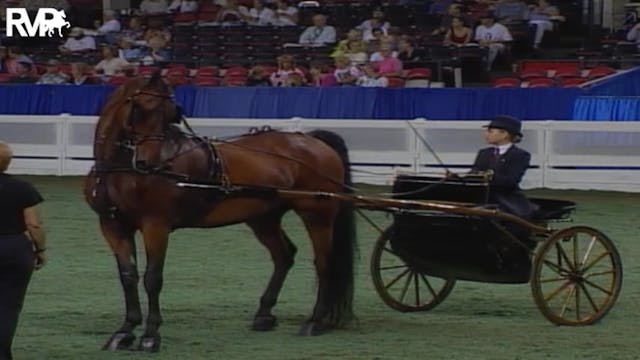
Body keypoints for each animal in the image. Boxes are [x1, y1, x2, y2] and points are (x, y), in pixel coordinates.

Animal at [81, 72, 356, 352]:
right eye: (139, 108)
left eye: (170, 113)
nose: (150, 163)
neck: (120, 172)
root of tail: (313, 139)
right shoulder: (112, 225)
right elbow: (128, 276)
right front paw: (125, 331)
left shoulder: (155, 225)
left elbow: (153, 278)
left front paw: (150, 335)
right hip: (263, 217)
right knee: (284, 256)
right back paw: (264, 314)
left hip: (317, 215)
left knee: (324, 263)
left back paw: (315, 321)